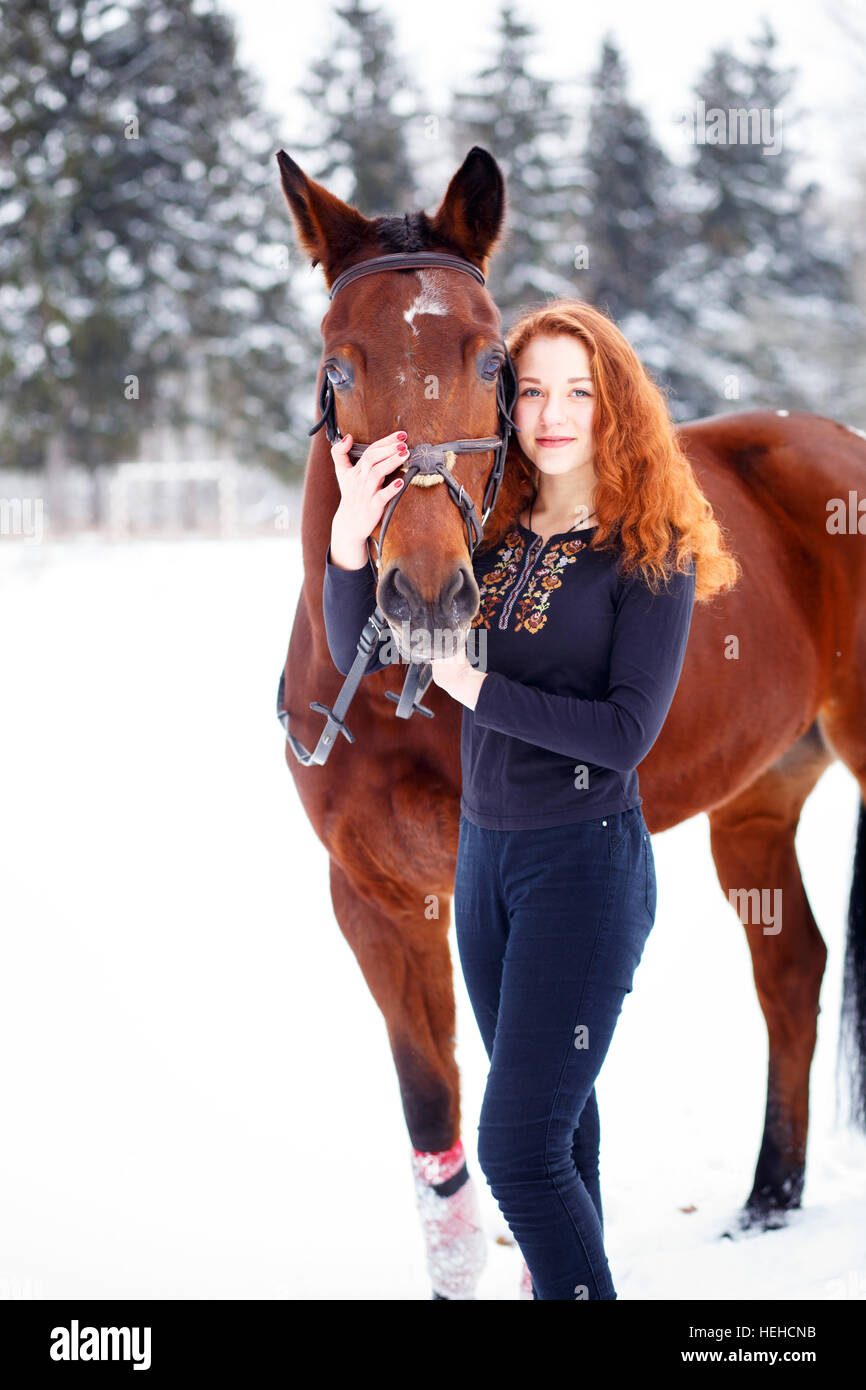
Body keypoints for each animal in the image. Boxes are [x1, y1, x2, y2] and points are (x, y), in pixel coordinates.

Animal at [273, 146, 866, 1295]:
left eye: (489, 360)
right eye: (339, 366)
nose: (424, 595)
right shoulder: (374, 898)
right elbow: (434, 1111)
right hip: (758, 797)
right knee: (790, 971)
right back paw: (767, 1198)